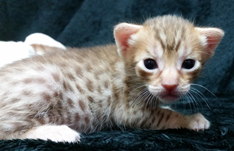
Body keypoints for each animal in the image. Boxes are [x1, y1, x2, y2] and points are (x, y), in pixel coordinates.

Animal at [0, 15, 224, 143]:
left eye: (189, 64)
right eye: (150, 64)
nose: (170, 85)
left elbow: (162, 106)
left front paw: (168, 105)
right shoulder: (128, 111)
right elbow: (165, 116)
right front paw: (190, 119)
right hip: (46, 81)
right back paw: (59, 133)